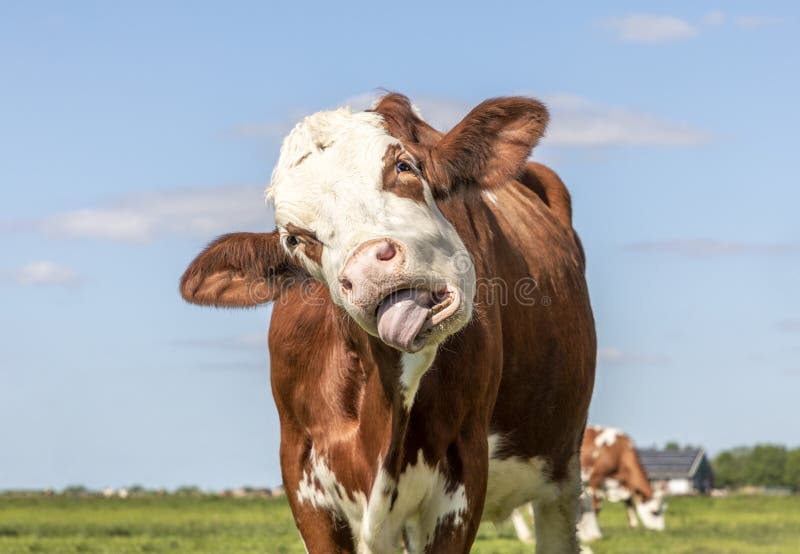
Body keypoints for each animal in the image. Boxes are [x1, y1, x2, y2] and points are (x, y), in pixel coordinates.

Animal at [180, 92, 592, 548]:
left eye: (403, 166)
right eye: (294, 238)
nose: (367, 271)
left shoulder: (463, 468)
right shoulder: (301, 469)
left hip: (563, 471)